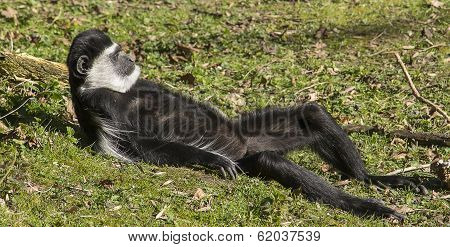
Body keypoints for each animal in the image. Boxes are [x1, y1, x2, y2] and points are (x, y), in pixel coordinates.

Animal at [67, 29, 422, 220]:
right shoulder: (100, 105)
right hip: (253, 156)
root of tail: (245, 145)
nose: (130, 60)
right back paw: (367, 206)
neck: (111, 87)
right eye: (116, 56)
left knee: (312, 114)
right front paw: (213, 160)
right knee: (270, 160)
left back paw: (373, 180)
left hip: (255, 132)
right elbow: (144, 146)